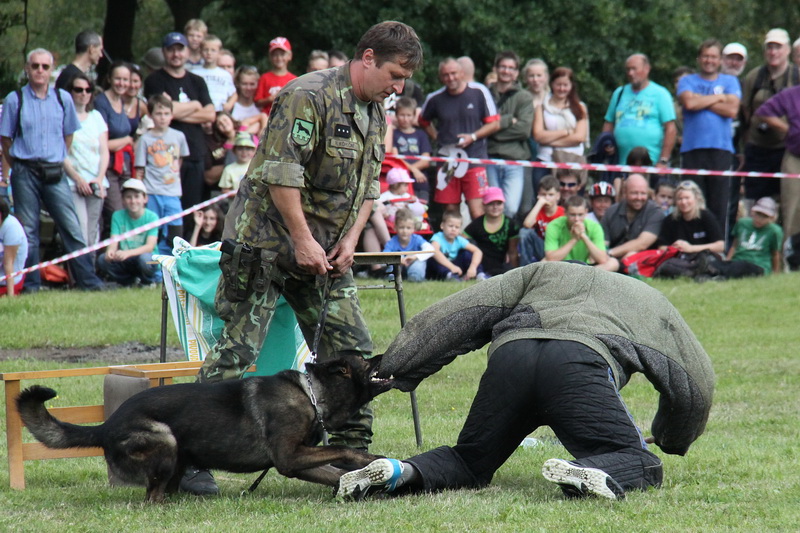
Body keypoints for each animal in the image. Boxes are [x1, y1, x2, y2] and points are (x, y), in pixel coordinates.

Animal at [17, 354, 392, 502]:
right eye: (365, 359)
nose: (383, 355)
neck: (312, 395)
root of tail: (106, 426)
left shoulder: (298, 462)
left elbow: (334, 474)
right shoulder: (290, 456)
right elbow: (341, 449)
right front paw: (368, 459)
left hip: (177, 455)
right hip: (164, 439)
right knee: (151, 498)